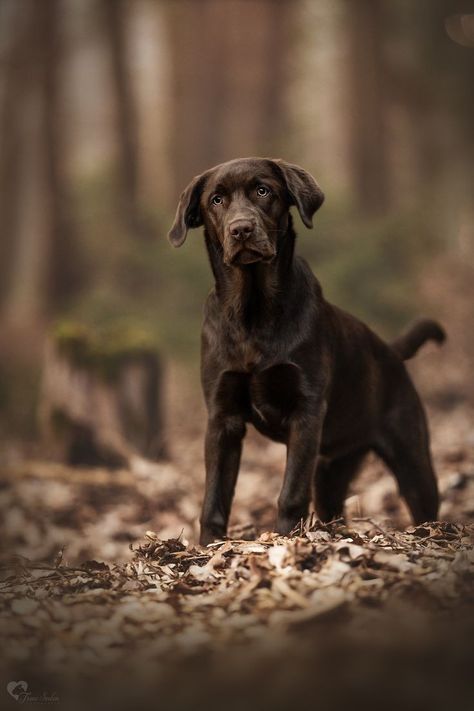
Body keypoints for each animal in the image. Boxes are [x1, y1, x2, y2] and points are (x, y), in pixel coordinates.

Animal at [168, 157, 444, 544]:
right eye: (216, 200)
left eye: (263, 190)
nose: (241, 229)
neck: (253, 311)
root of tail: (389, 351)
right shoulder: (223, 417)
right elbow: (214, 498)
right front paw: (208, 547)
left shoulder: (307, 410)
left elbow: (291, 494)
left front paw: (286, 542)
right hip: (333, 466)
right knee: (333, 508)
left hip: (411, 455)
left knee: (424, 501)